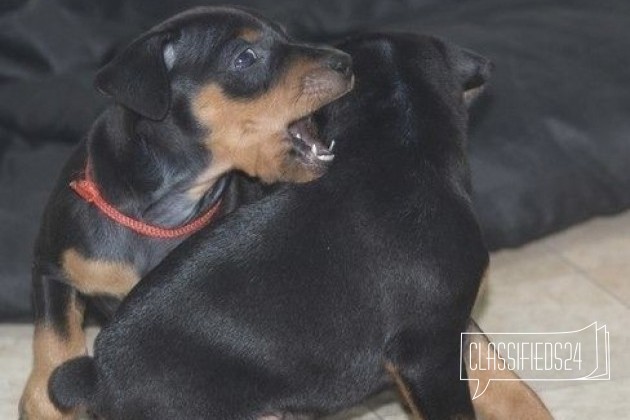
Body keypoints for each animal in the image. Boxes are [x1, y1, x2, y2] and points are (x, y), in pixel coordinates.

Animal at [19, 6, 356, 420]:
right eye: (245, 57)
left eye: (287, 35)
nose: (346, 62)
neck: (160, 216)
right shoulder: (51, 267)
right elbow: (55, 339)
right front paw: (45, 402)